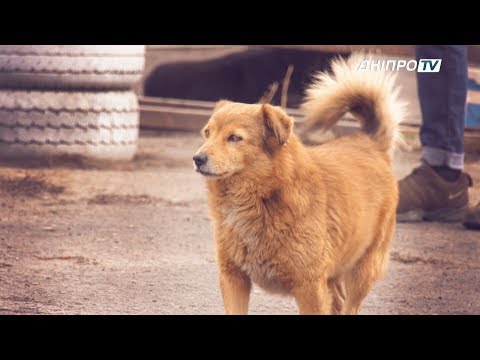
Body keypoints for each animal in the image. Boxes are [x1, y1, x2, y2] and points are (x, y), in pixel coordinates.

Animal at [193, 54, 404, 316]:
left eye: (234, 138)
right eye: (207, 133)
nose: (197, 158)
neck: (260, 198)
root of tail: (370, 143)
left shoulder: (309, 287)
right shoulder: (233, 277)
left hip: (363, 270)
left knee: (350, 305)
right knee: (338, 300)